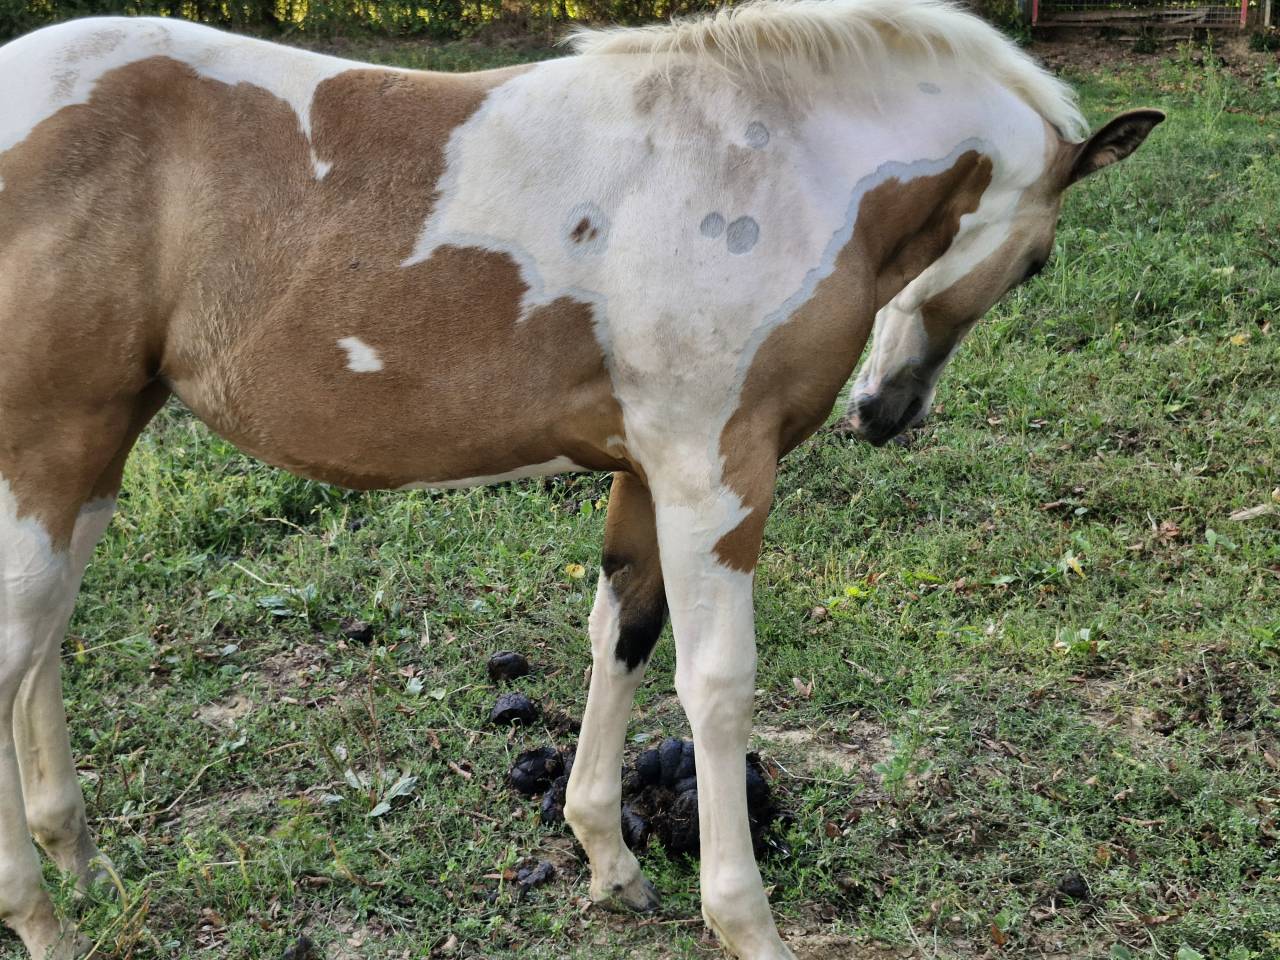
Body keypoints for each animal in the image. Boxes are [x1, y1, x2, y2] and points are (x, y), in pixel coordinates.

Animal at [0, 1, 1162, 956]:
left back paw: (79, 862)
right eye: (1037, 263)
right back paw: (43, 918)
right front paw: (744, 924)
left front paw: (608, 861)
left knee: (40, 647)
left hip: (91, 455)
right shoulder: (715, 474)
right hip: (50, 453)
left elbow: (622, 636)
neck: (768, 160)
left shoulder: (649, 471)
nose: (885, 413)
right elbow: (717, 686)